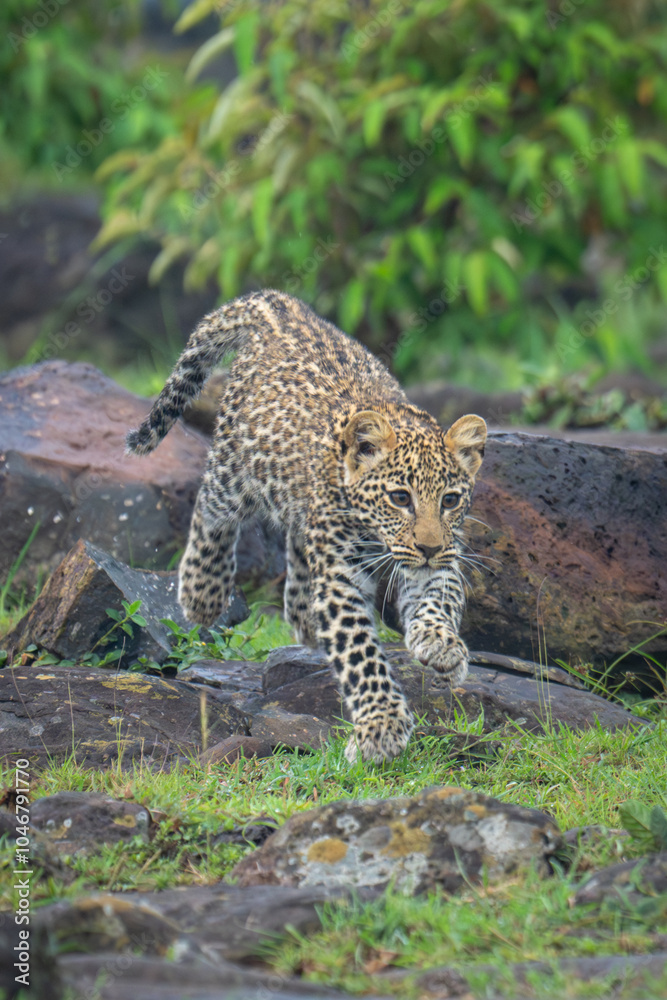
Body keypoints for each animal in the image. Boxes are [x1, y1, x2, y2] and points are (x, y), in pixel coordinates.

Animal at [126, 290, 487, 763]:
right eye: (400, 498)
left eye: (449, 500)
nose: (427, 547)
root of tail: (280, 306)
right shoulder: (340, 578)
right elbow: (361, 654)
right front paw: (381, 727)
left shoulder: (439, 559)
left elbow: (438, 599)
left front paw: (441, 647)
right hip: (236, 471)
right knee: (211, 509)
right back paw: (202, 594)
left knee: (296, 541)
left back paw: (303, 614)